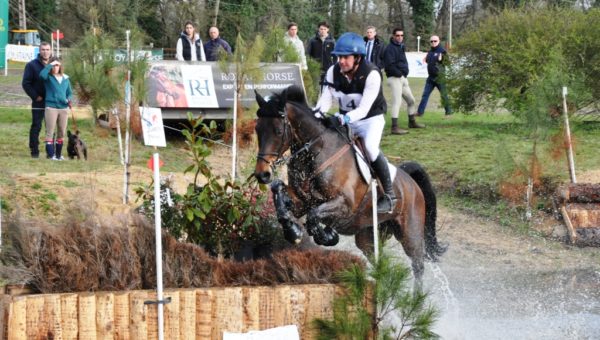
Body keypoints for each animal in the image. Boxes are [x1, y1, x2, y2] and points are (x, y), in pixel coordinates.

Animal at [252, 85, 446, 286]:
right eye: (257, 129)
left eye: (278, 131)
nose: (262, 174)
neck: (316, 152)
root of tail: (410, 181)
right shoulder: (301, 202)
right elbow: (279, 192)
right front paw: (293, 231)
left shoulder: (345, 205)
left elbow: (314, 216)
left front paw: (326, 235)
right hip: (368, 237)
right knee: (381, 263)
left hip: (410, 233)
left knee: (418, 265)